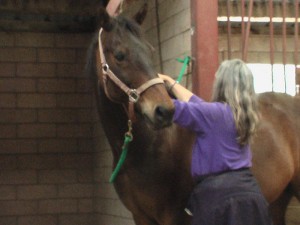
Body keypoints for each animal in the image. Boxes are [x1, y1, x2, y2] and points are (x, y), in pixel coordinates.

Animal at [85, 7, 298, 225]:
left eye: (150, 52)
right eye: (119, 55)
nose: (164, 111)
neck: (150, 146)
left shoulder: (175, 216)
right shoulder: (141, 216)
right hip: (278, 198)